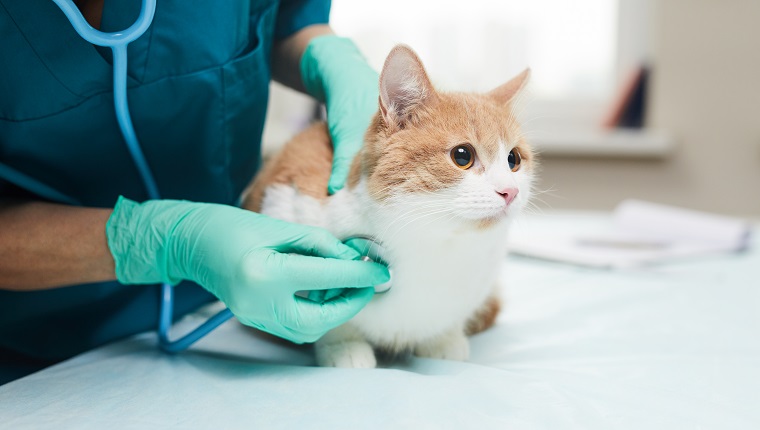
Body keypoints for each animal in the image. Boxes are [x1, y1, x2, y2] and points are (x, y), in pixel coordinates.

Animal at [243, 43, 536, 368]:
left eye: (513, 159)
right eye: (463, 156)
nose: (510, 191)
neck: (432, 243)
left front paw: (442, 339)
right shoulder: (287, 202)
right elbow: (327, 319)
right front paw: (343, 346)